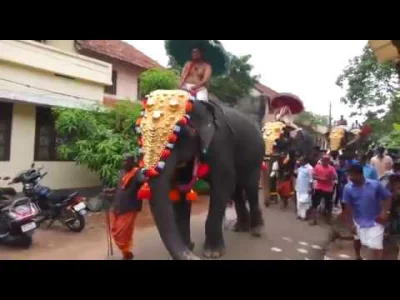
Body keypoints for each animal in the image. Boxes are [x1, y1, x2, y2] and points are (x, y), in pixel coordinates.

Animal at [135, 89, 266, 260]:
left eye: (187, 133)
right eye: (139, 132)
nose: (193, 256)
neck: (197, 104)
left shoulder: (221, 143)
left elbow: (222, 185)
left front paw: (213, 253)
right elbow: (181, 192)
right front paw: (188, 247)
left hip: (256, 156)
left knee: (250, 187)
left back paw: (256, 230)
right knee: (237, 191)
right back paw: (240, 228)